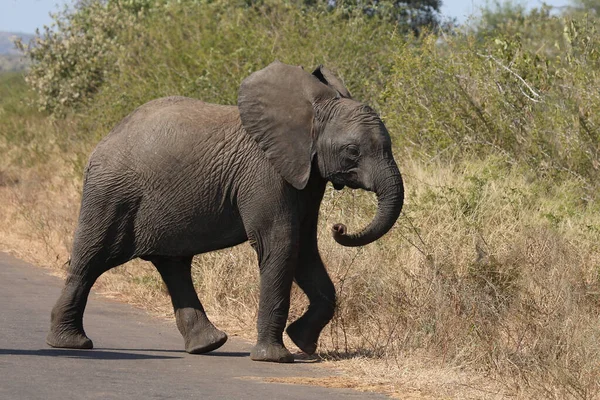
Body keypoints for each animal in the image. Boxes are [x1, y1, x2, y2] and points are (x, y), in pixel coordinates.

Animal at [45, 61, 404, 364]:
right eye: (353, 151)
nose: (339, 228)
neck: (310, 114)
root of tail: (104, 141)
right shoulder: (265, 173)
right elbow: (280, 243)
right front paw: (274, 358)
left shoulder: (307, 175)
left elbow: (304, 247)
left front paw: (303, 344)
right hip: (110, 193)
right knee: (91, 260)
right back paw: (70, 344)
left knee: (172, 265)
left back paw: (208, 345)